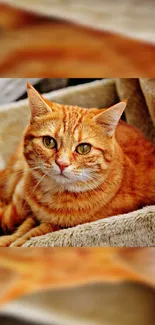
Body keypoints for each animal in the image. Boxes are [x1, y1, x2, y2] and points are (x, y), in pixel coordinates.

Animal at [0, 83, 155, 246]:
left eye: (84, 148)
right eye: (49, 142)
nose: (62, 163)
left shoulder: (59, 225)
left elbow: (37, 232)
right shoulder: (31, 212)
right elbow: (23, 227)